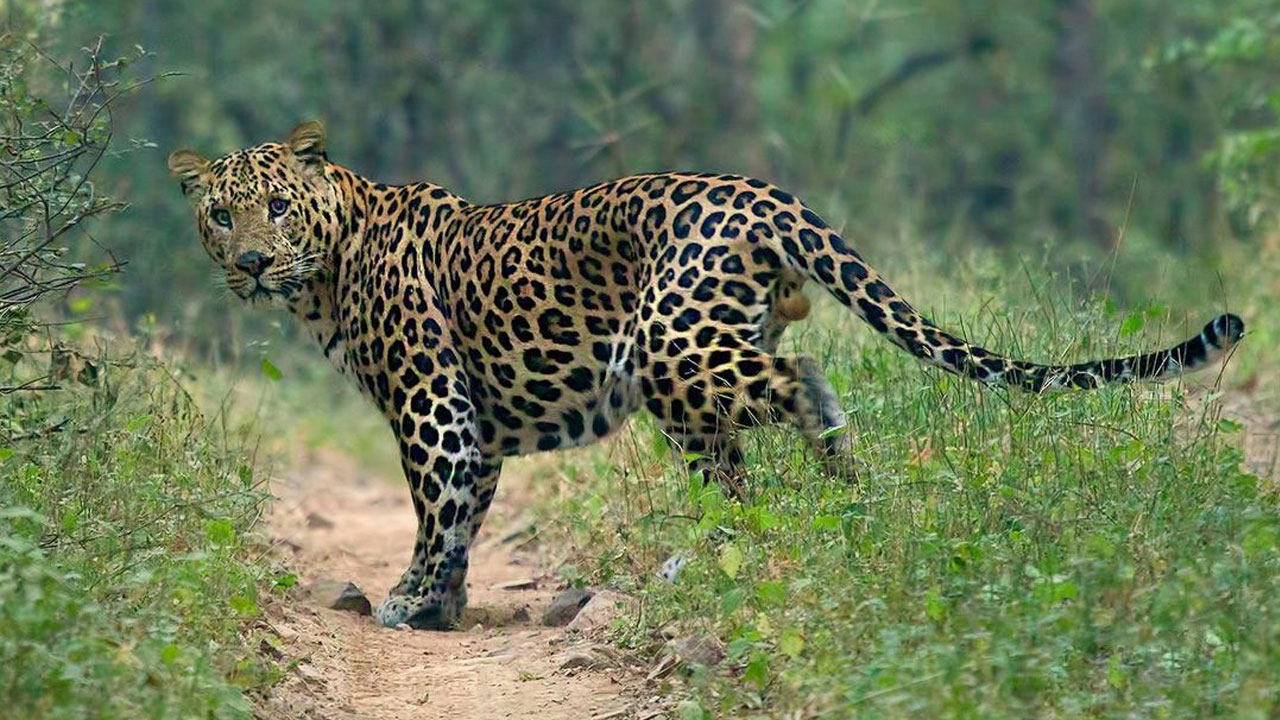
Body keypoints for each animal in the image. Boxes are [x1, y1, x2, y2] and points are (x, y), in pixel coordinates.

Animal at [169, 121, 1244, 630]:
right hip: (690, 378)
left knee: (801, 380)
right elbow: (465, 515)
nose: (249, 264)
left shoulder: (431, 404)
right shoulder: (474, 423)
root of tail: (766, 194)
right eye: (221, 214)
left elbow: (437, 510)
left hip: (668, 345)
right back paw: (745, 547)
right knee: (738, 475)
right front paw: (440, 609)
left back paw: (837, 480)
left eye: (275, 206)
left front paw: (405, 603)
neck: (329, 267)